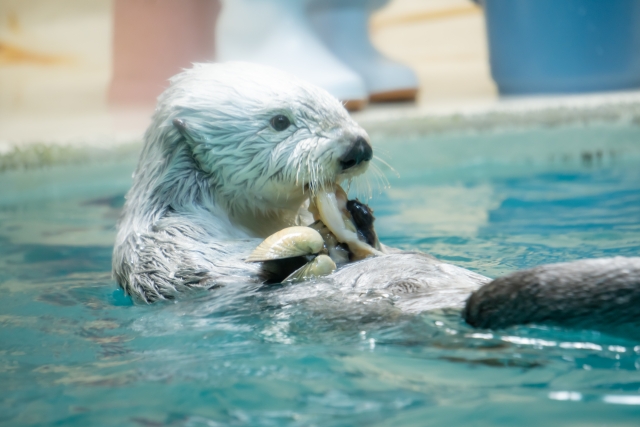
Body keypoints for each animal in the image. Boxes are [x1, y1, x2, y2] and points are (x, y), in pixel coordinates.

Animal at [114, 62, 640, 334]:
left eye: (342, 106)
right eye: (280, 122)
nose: (357, 148)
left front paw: (358, 217)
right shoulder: (167, 241)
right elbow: (209, 273)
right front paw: (300, 256)